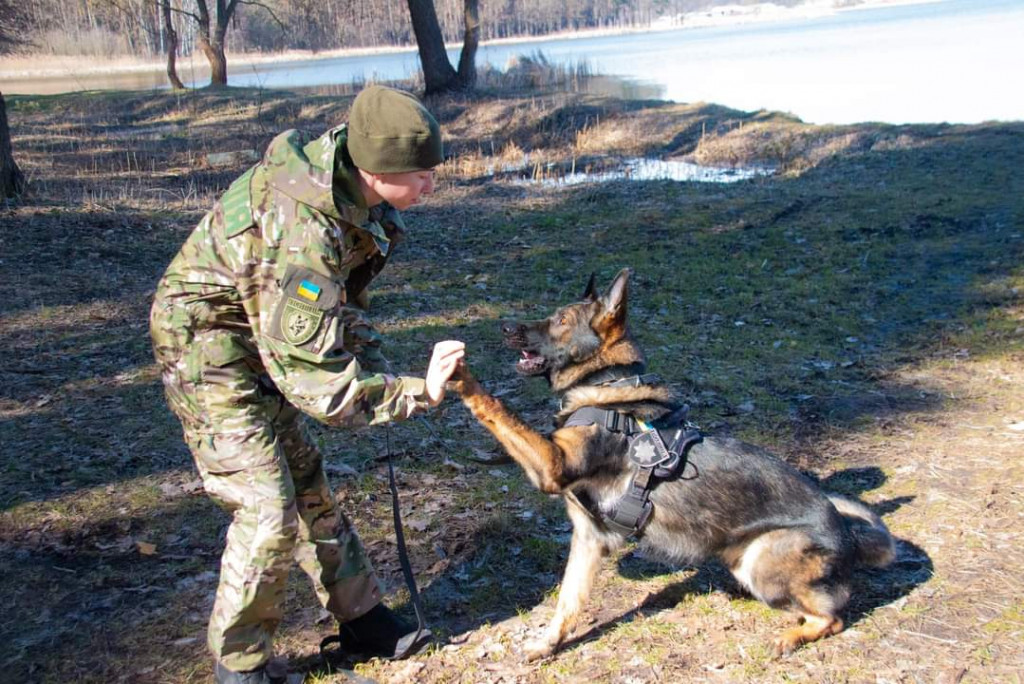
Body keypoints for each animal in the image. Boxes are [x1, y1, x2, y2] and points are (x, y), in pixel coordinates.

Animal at [452, 270, 892, 659]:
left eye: (560, 320)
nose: (505, 326)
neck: (606, 383)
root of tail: (848, 537)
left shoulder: (552, 465)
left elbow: (496, 408)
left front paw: (459, 375)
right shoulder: (588, 538)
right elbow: (567, 601)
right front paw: (548, 644)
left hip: (763, 561)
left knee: (833, 617)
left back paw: (790, 637)